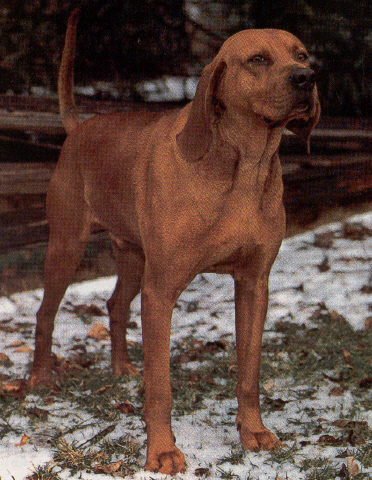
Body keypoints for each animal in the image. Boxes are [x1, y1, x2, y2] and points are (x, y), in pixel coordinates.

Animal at [29, 6, 320, 472]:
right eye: (258, 59)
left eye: (302, 54)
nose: (307, 77)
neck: (242, 167)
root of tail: (80, 127)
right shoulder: (161, 291)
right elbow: (161, 387)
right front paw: (162, 452)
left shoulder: (254, 284)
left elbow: (249, 373)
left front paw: (253, 432)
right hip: (66, 247)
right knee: (45, 314)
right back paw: (40, 377)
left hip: (132, 257)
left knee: (115, 305)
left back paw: (122, 368)